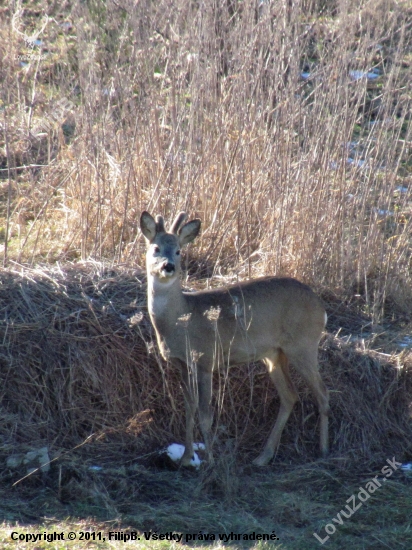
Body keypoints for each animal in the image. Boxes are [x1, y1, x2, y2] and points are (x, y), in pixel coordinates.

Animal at [140, 210, 330, 466]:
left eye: (178, 250)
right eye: (156, 248)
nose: (168, 266)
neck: (181, 319)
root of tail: (321, 308)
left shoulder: (205, 359)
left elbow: (205, 414)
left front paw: (210, 461)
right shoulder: (181, 364)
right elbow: (189, 409)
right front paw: (186, 458)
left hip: (304, 345)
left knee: (322, 394)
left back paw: (323, 450)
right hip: (274, 354)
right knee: (290, 395)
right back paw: (262, 457)